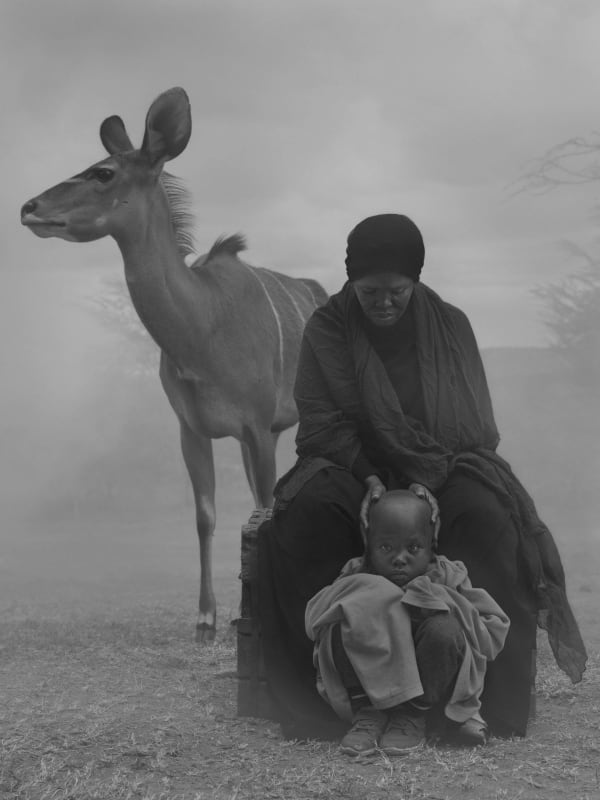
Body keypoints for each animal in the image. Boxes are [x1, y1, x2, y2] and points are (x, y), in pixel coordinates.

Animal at [21, 87, 327, 641]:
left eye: (103, 172)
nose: (28, 207)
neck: (203, 323)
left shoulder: (254, 424)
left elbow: (264, 509)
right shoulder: (194, 428)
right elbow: (207, 514)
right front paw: (207, 620)